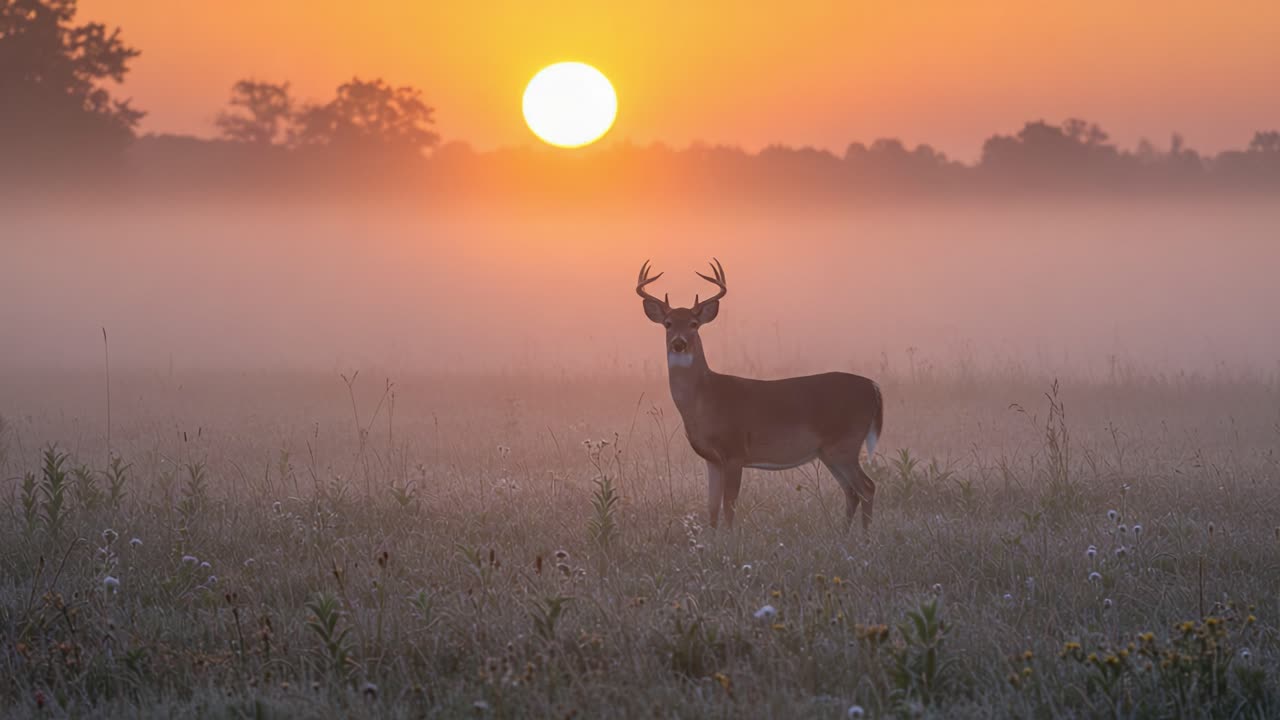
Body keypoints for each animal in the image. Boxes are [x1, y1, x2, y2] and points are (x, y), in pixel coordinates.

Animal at [636, 259, 883, 530]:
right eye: (668, 323)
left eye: (693, 324)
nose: (679, 343)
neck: (706, 399)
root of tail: (872, 387)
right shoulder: (712, 459)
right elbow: (711, 509)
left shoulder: (735, 451)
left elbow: (729, 507)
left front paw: (731, 538)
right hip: (829, 452)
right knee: (852, 491)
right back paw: (845, 534)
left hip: (845, 443)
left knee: (867, 487)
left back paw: (864, 536)